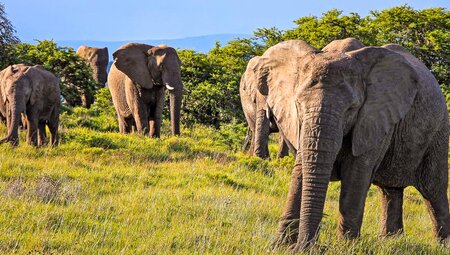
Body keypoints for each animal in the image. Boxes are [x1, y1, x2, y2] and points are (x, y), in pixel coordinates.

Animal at [253, 38, 450, 250]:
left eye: (351, 109)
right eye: (298, 104)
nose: (311, 246)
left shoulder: (373, 117)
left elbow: (356, 174)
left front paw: (345, 247)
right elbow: (300, 171)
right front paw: (280, 246)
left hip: (439, 131)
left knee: (433, 190)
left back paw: (442, 245)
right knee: (390, 190)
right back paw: (390, 241)